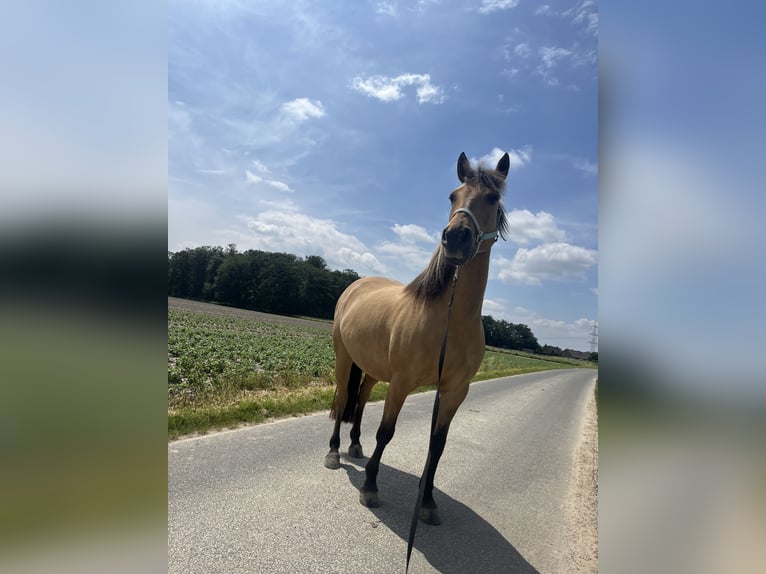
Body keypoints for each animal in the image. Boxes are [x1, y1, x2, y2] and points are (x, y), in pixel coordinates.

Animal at [324, 151, 510, 527]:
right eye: (453, 195)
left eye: (492, 198)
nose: (455, 238)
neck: (449, 319)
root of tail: (357, 284)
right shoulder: (401, 382)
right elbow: (386, 432)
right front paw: (370, 486)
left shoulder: (454, 392)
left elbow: (437, 445)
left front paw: (427, 502)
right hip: (344, 358)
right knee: (342, 397)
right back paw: (335, 452)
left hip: (372, 368)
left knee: (360, 400)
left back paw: (355, 445)